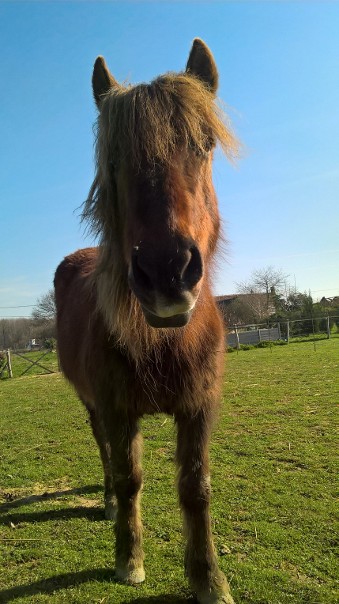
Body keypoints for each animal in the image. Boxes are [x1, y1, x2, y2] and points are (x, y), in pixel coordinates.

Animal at [54, 39, 239, 604]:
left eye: (204, 144)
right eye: (113, 159)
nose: (167, 271)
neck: (163, 342)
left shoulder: (199, 408)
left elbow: (196, 488)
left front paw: (209, 578)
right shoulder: (117, 409)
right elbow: (130, 476)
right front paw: (129, 559)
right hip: (92, 405)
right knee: (105, 456)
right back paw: (110, 503)